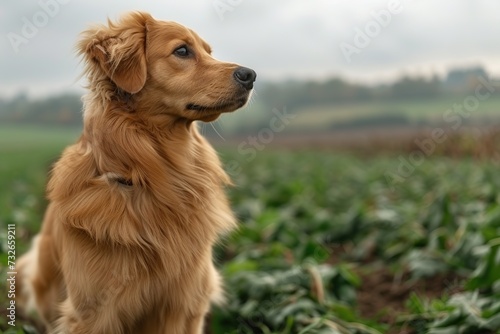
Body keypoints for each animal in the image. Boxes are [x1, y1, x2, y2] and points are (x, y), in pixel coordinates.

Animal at [17, 11, 256, 334]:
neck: (157, 177)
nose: (250, 75)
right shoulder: (92, 312)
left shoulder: (185, 304)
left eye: (209, 52)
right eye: (182, 50)